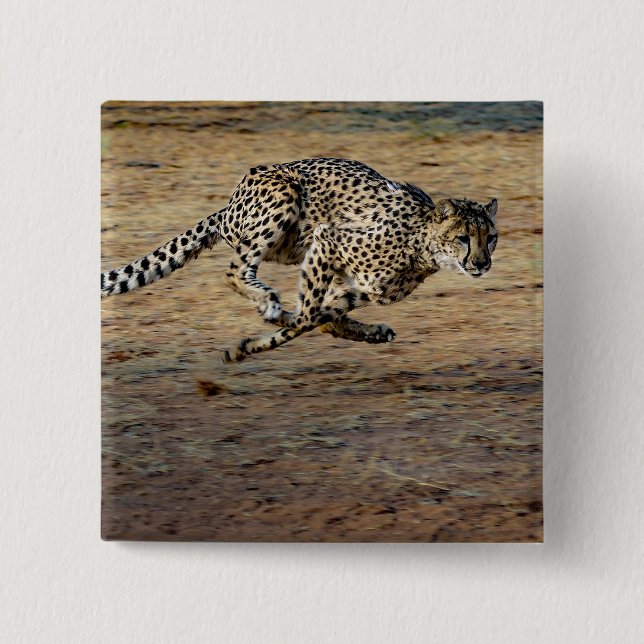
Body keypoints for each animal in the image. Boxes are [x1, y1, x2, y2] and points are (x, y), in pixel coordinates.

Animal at [101, 158, 498, 362]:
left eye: (490, 238)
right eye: (464, 237)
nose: (482, 264)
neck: (423, 244)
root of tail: (228, 205)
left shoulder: (359, 287)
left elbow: (318, 319)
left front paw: (250, 345)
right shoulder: (328, 239)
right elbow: (307, 317)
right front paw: (262, 333)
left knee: (325, 319)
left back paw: (367, 331)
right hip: (285, 195)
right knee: (235, 271)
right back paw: (268, 302)